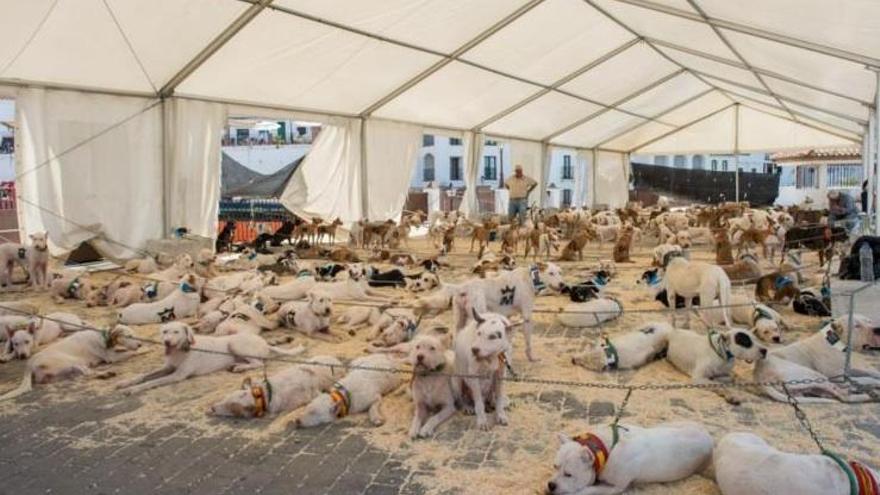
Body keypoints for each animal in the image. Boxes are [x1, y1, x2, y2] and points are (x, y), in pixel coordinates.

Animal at [114, 322, 306, 396]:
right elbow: (144, 376)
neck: (182, 351)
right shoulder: (168, 368)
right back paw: (236, 365)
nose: (166, 342)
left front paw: (134, 389)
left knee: (258, 363)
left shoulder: (177, 375)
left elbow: (152, 382)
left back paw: (239, 368)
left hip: (235, 343)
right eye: (165, 331)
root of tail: (264, 341)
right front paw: (126, 383)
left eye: (176, 332)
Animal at [548, 422, 720, 495]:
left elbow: (588, 489)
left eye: (569, 475)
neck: (606, 449)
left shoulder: (615, 488)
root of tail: (709, 436)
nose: (551, 485)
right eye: (554, 467)